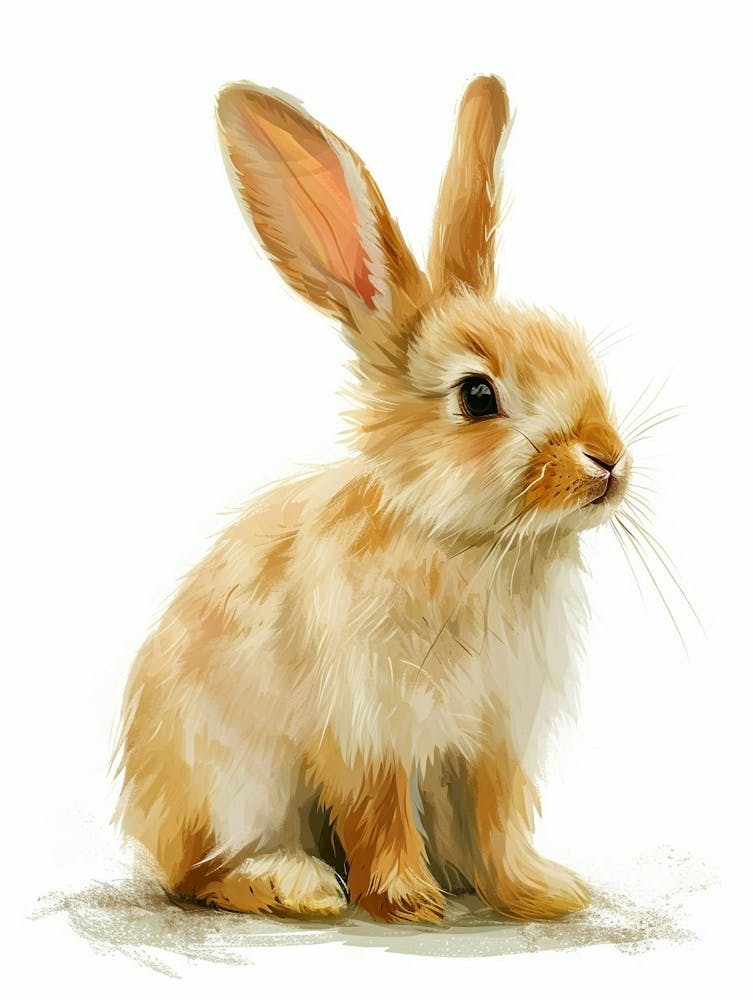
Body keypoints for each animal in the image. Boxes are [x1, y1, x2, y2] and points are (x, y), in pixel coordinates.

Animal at [115, 74, 631, 924]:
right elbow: (378, 813)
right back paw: (292, 884)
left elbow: (496, 822)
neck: (463, 542)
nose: (609, 461)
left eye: (576, 355)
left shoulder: (493, 741)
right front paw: (408, 901)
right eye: (477, 396)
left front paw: (539, 893)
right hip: (230, 787)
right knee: (197, 874)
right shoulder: (363, 728)